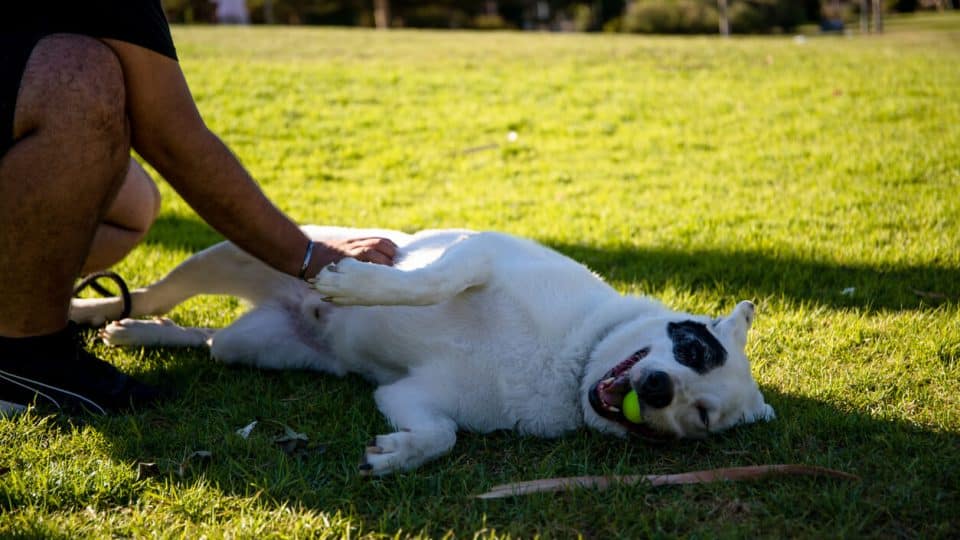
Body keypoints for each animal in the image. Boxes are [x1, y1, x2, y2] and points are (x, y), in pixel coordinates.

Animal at [71, 226, 776, 474]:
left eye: (702, 416)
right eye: (693, 347)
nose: (657, 390)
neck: (569, 362)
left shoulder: (411, 395)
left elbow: (441, 435)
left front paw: (397, 454)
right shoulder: (479, 254)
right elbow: (428, 281)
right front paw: (358, 284)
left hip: (255, 349)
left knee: (211, 340)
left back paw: (138, 334)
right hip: (225, 254)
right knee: (157, 290)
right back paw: (93, 312)